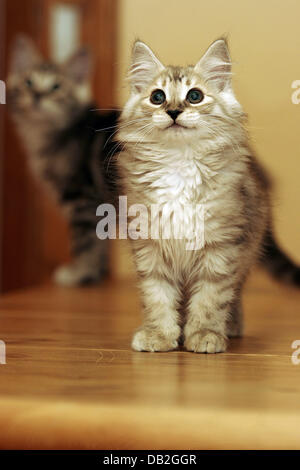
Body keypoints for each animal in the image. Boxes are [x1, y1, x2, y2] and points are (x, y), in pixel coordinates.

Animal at [6, 35, 118, 286]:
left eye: (56, 87)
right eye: (28, 82)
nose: (38, 95)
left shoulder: (83, 199)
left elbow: (85, 241)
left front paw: (79, 272)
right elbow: (100, 244)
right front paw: (97, 274)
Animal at [116, 39, 300, 352]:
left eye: (194, 96)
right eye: (157, 97)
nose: (173, 111)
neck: (179, 164)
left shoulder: (221, 246)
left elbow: (210, 299)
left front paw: (204, 334)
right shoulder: (150, 247)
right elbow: (157, 296)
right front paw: (159, 335)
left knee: (234, 294)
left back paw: (231, 327)